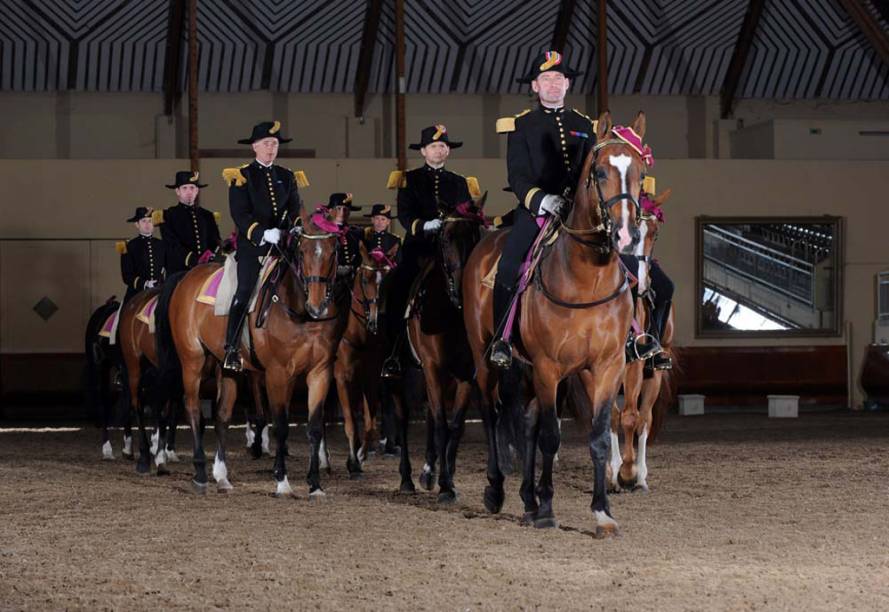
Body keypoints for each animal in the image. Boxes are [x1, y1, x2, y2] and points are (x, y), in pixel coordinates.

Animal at [156, 208, 340, 494]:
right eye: (302, 252)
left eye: (332, 252)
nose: (317, 305)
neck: (299, 312)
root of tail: (187, 276)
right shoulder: (277, 373)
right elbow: (281, 426)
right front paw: (282, 481)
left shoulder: (320, 372)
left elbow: (314, 428)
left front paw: (315, 484)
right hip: (193, 361)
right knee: (193, 408)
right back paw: (200, 473)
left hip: (224, 367)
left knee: (221, 415)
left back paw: (221, 476)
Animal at [332, 239, 398, 478]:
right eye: (365, 279)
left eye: (387, 279)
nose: (376, 320)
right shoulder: (342, 378)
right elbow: (351, 423)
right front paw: (353, 462)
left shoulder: (369, 378)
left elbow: (369, 424)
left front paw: (360, 456)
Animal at [400, 201, 486, 502]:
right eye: (445, 238)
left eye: (475, 236)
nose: (462, 288)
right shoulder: (432, 367)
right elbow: (440, 423)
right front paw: (445, 483)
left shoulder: (466, 373)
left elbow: (455, 426)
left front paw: (446, 480)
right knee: (401, 417)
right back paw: (407, 478)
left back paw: (428, 471)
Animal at [464, 112, 644, 532]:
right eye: (599, 171)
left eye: (641, 173)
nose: (626, 234)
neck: (586, 276)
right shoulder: (550, 367)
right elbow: (550, 435)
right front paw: (548, 508)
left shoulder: (606, 367)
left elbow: (598, 435)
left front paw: (602, 511)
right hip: (487, 358)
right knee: (492, 413)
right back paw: (497, 491)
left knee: (526, 420)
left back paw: (528, 499)